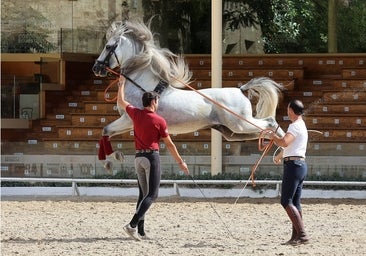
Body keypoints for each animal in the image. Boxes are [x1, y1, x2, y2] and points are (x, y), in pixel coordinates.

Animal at [92, 19, 286, 164]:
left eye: (108, 46)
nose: (96, 68)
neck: (142, 84)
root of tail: (241, 90)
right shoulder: (131, 123)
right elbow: (106, 132)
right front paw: (113, 157)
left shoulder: (128, 119)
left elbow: (106, 130)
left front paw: (114, 157)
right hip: (232, 132)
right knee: (265, 131)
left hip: (240, 124)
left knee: (270, 123)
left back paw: (283, 149)